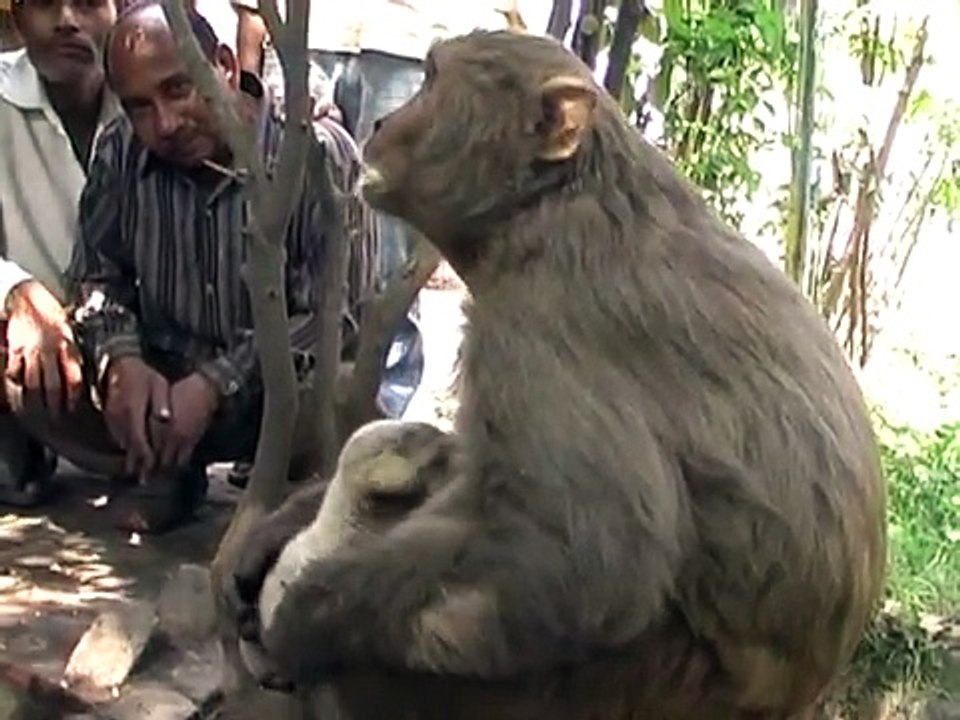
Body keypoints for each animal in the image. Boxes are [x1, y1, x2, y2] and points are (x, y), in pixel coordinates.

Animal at [231, 29, 886, 720]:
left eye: (429, 79)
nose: (381, 122)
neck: (544, 208)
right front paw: (274, 534)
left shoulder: (538, 320)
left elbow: (581, 566)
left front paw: (300, 616)